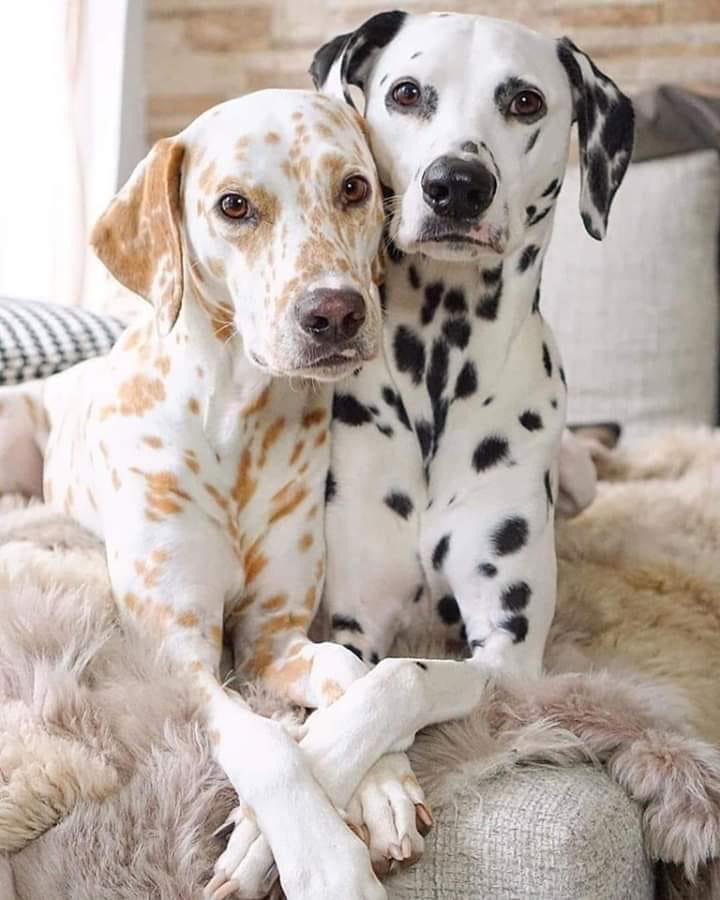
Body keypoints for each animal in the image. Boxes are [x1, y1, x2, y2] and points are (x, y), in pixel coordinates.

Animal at [312, 12, 632, 676]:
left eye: (525, 101)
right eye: (406, 92)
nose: (457, 184)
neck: (442, 359)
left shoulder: (507, 646)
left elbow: (416, 677)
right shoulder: (354, 618)